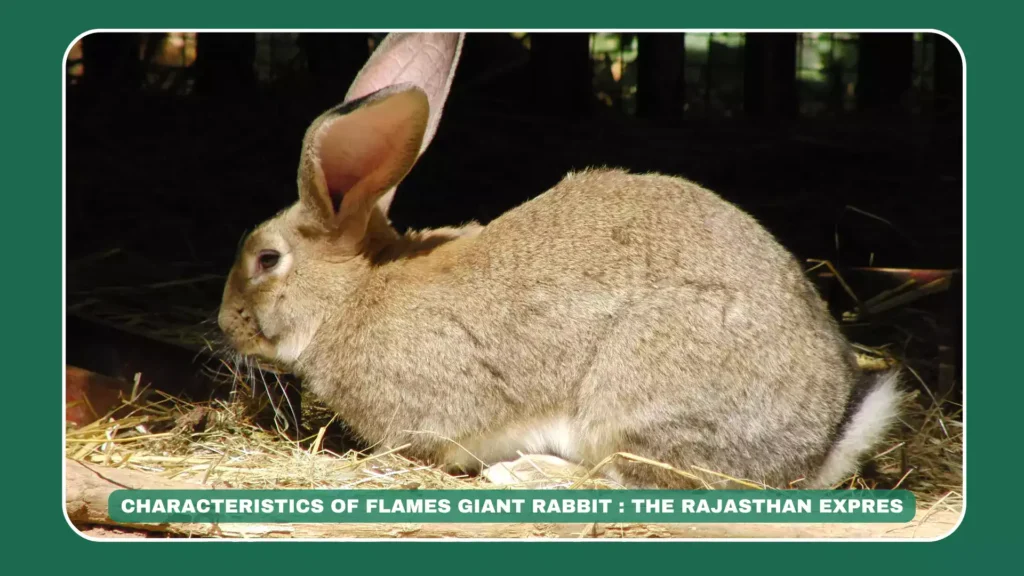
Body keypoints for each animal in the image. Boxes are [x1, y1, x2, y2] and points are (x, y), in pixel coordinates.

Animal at [220, 32, 901, 487]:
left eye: (267, 259)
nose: (226, 325)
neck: (352, 294)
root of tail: (820, 445)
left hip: (638, 393)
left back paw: (526, 473)